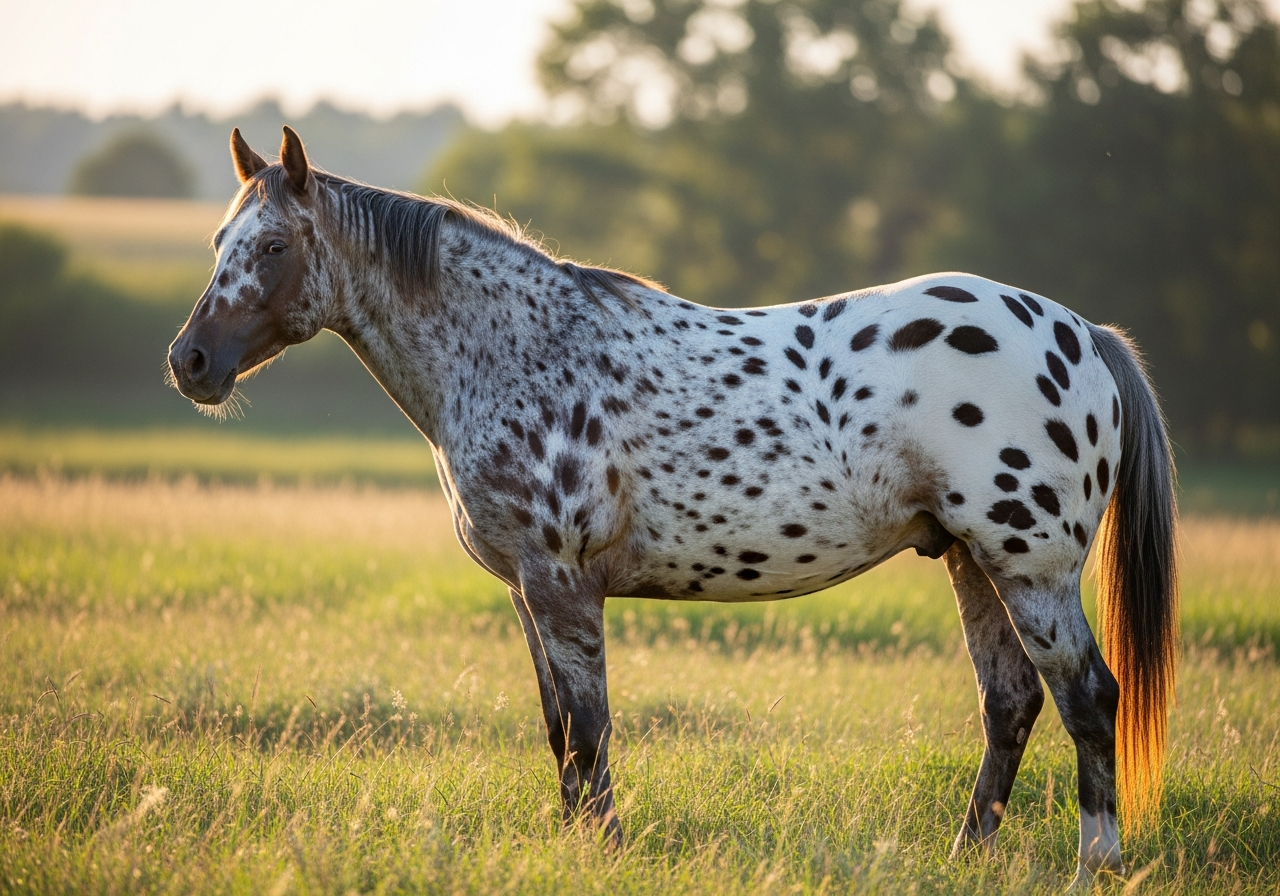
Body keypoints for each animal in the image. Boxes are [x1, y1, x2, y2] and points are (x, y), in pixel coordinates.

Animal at [168, 127, 1178, 889]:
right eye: (218, 243)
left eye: (273, 247)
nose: (190, 363)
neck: (517, 350)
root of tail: (1082, 333)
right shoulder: (526, 591)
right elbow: (561, 734)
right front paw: (578, 845)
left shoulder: (563, 585)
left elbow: (590, 731)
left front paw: (602, 853)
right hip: (975, 561)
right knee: (1011, 703)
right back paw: (967, 855)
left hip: (1032, 569)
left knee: (1090, 698)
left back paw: (1094, 866)